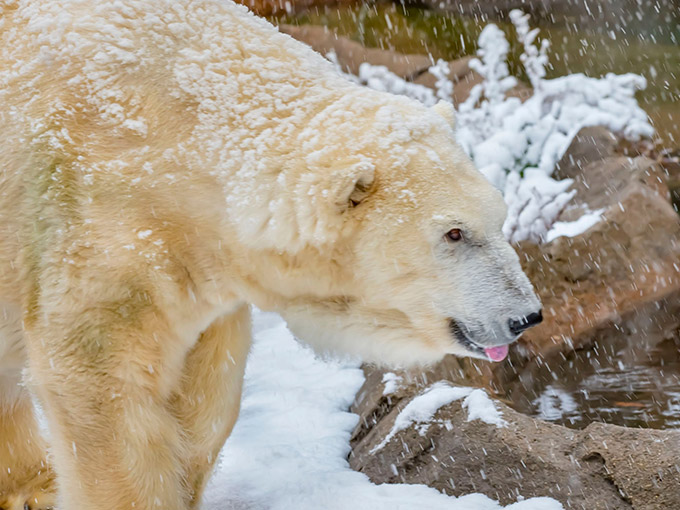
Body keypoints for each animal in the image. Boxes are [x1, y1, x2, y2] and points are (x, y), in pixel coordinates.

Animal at [0, 0, 540, 508]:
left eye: (498, 216)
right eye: (454, 233)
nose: (526, 316)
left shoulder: (199, 266)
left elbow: (208, 388)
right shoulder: (93, 222)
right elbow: (102, 386)